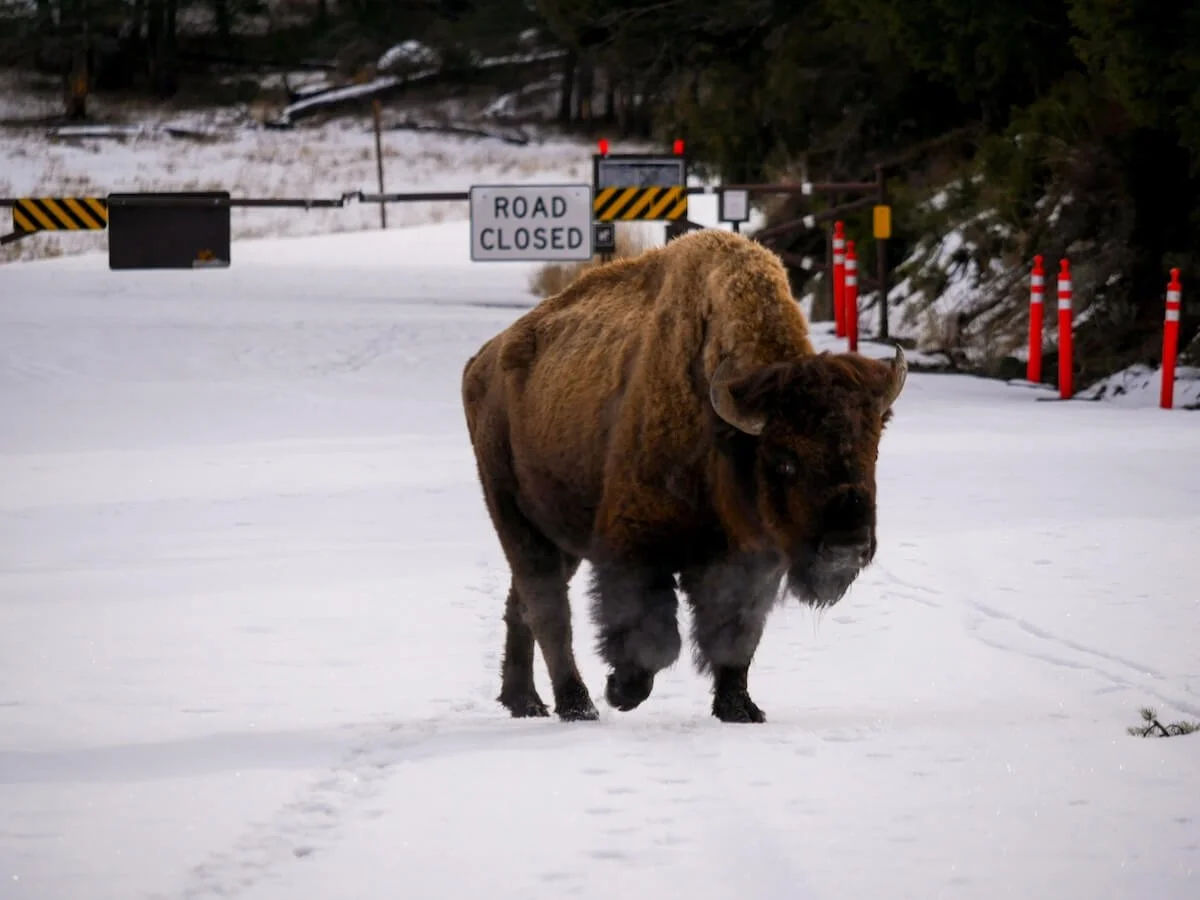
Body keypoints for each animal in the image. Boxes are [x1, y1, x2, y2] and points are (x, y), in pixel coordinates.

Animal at [461, 229, 906, 723]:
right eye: (784, 460)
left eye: (872, 451)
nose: (846, 547)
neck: (724, 433)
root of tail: (481, 362)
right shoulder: (636, 547)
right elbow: (655, 637)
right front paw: (622, 691)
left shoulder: (752, 560)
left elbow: (736, 637)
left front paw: (740, 708)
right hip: (514, 516)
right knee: (548, 610)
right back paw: (577, 705)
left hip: (560, 535)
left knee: (521, 603)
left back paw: (525, 701)